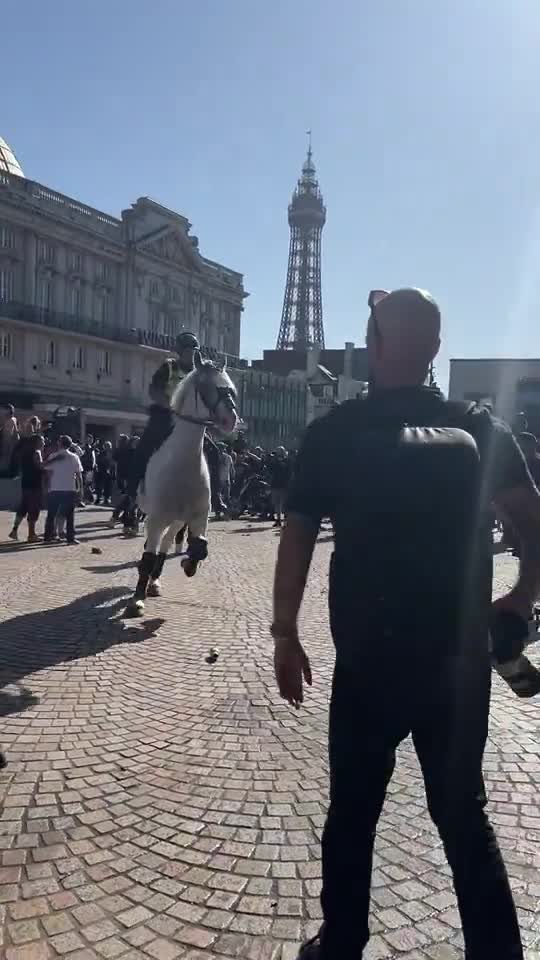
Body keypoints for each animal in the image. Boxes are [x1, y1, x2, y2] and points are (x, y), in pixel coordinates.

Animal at [126, 352, 238, 616]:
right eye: (207, 387)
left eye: (231, 388)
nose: (231, 420)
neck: (183, 463)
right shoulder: (156, 518)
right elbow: (147, 556)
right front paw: (137, 600)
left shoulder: (199, 517)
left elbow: (199, 548)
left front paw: (188, 563)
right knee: (152, 546)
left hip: (176, 519)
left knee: (165, 545)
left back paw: (155, 582)